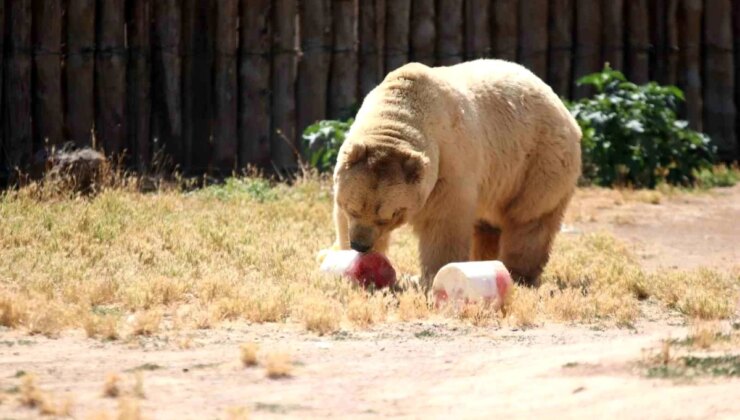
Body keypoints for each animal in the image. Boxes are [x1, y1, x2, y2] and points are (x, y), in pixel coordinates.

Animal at [326, 57, 580, 290]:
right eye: (352, 207)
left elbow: (444, 222)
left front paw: (434, 275)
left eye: (389, 216)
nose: (360, 245)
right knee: (488, 226)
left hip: (537, 162)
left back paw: (519, 274)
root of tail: (563, 107)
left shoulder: (450, 163)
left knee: (530, 220)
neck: (399, 112)